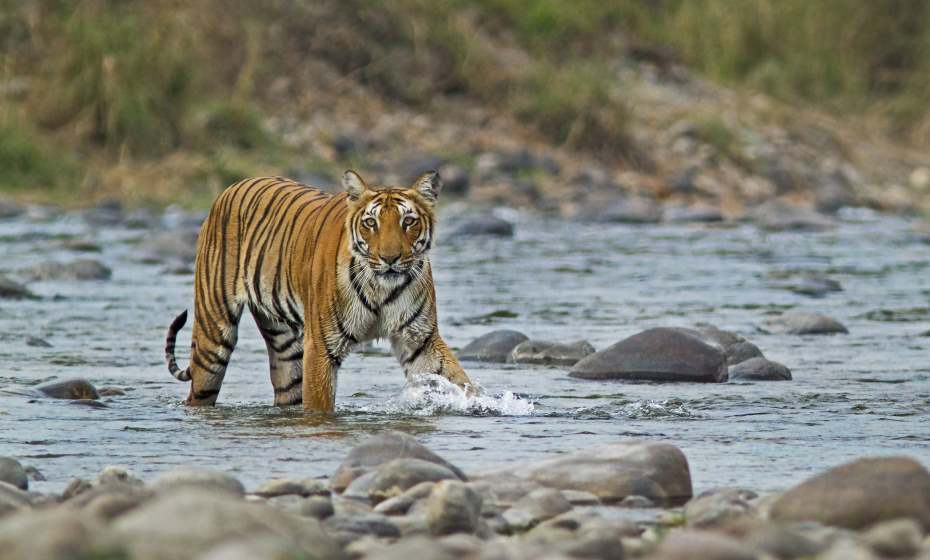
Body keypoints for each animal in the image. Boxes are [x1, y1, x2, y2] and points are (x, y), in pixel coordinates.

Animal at [160, 171, 474, 412]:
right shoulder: (321, 346)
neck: (381, 288)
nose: (389, 258)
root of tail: (231, 186)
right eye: (371, 223)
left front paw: (479, 404)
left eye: (408, 221)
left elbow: (459, 380)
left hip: (285, 348)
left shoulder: (420, 339)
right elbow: (320, 405)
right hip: (213, 335)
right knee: (200, 389)